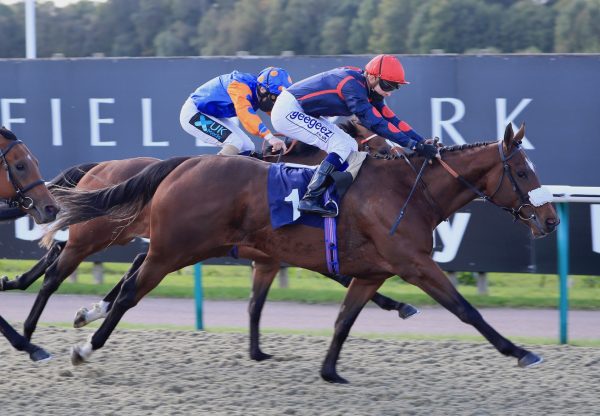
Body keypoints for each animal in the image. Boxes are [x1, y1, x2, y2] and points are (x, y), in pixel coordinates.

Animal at [55, 122, 556, 384]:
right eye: (523, 172)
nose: (551, 219)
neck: (406, 191)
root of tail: (183, 165)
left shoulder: (370, 272)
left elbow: (342, 320)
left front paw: (330, 370)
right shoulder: (414, 264)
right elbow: (466, 310)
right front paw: (518, 351)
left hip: (183, 246)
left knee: (131, 278)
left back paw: (87, 319)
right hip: (173, 248)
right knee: (128, 293)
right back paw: (84, 347)